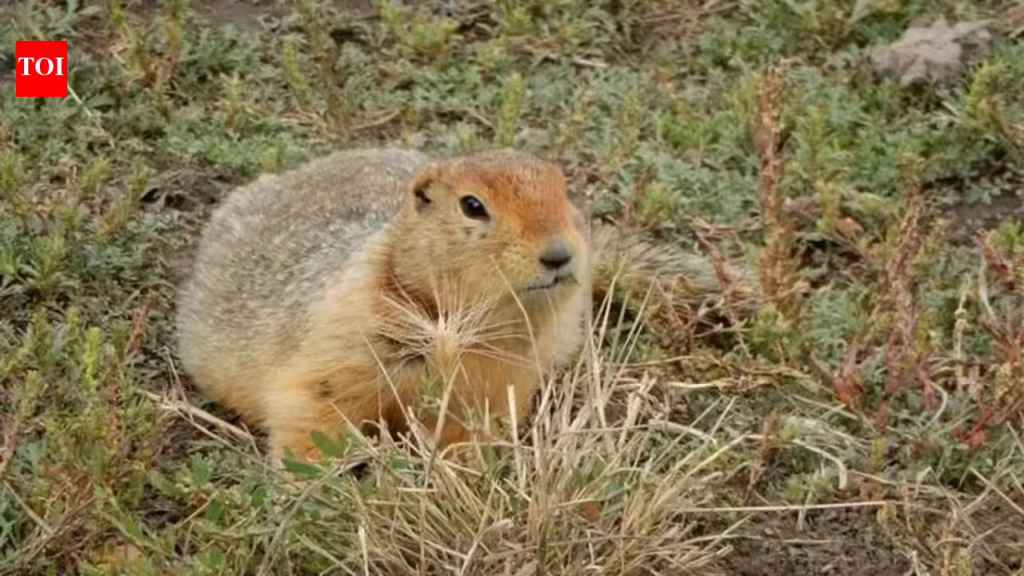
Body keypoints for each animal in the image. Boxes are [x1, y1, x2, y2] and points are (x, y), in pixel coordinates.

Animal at [174, 147, 759, 465]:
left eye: (563, 190)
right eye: (472, 205)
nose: (561, 253)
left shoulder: (502, 380)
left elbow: (471, 429)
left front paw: (466, 469)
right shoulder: (343, 339)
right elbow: (313, 409)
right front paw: (316, 482)